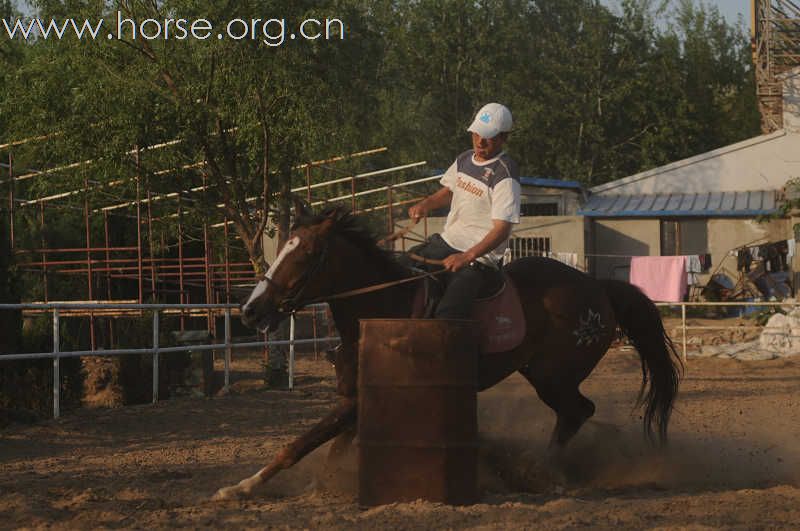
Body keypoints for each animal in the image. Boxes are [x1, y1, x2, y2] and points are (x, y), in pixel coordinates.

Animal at [214, 206, 680, 500]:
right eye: (283, 247)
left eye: (309, 252)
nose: (251, 310)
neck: (383, 304)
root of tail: (598, 286)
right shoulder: (354, 399)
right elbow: (330, 449)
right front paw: (316, 487)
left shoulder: (358, 401)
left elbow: (300, 443)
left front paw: (240, 487)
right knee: (576, 413)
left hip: (554, 375)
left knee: (577, 411)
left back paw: (539, 471)